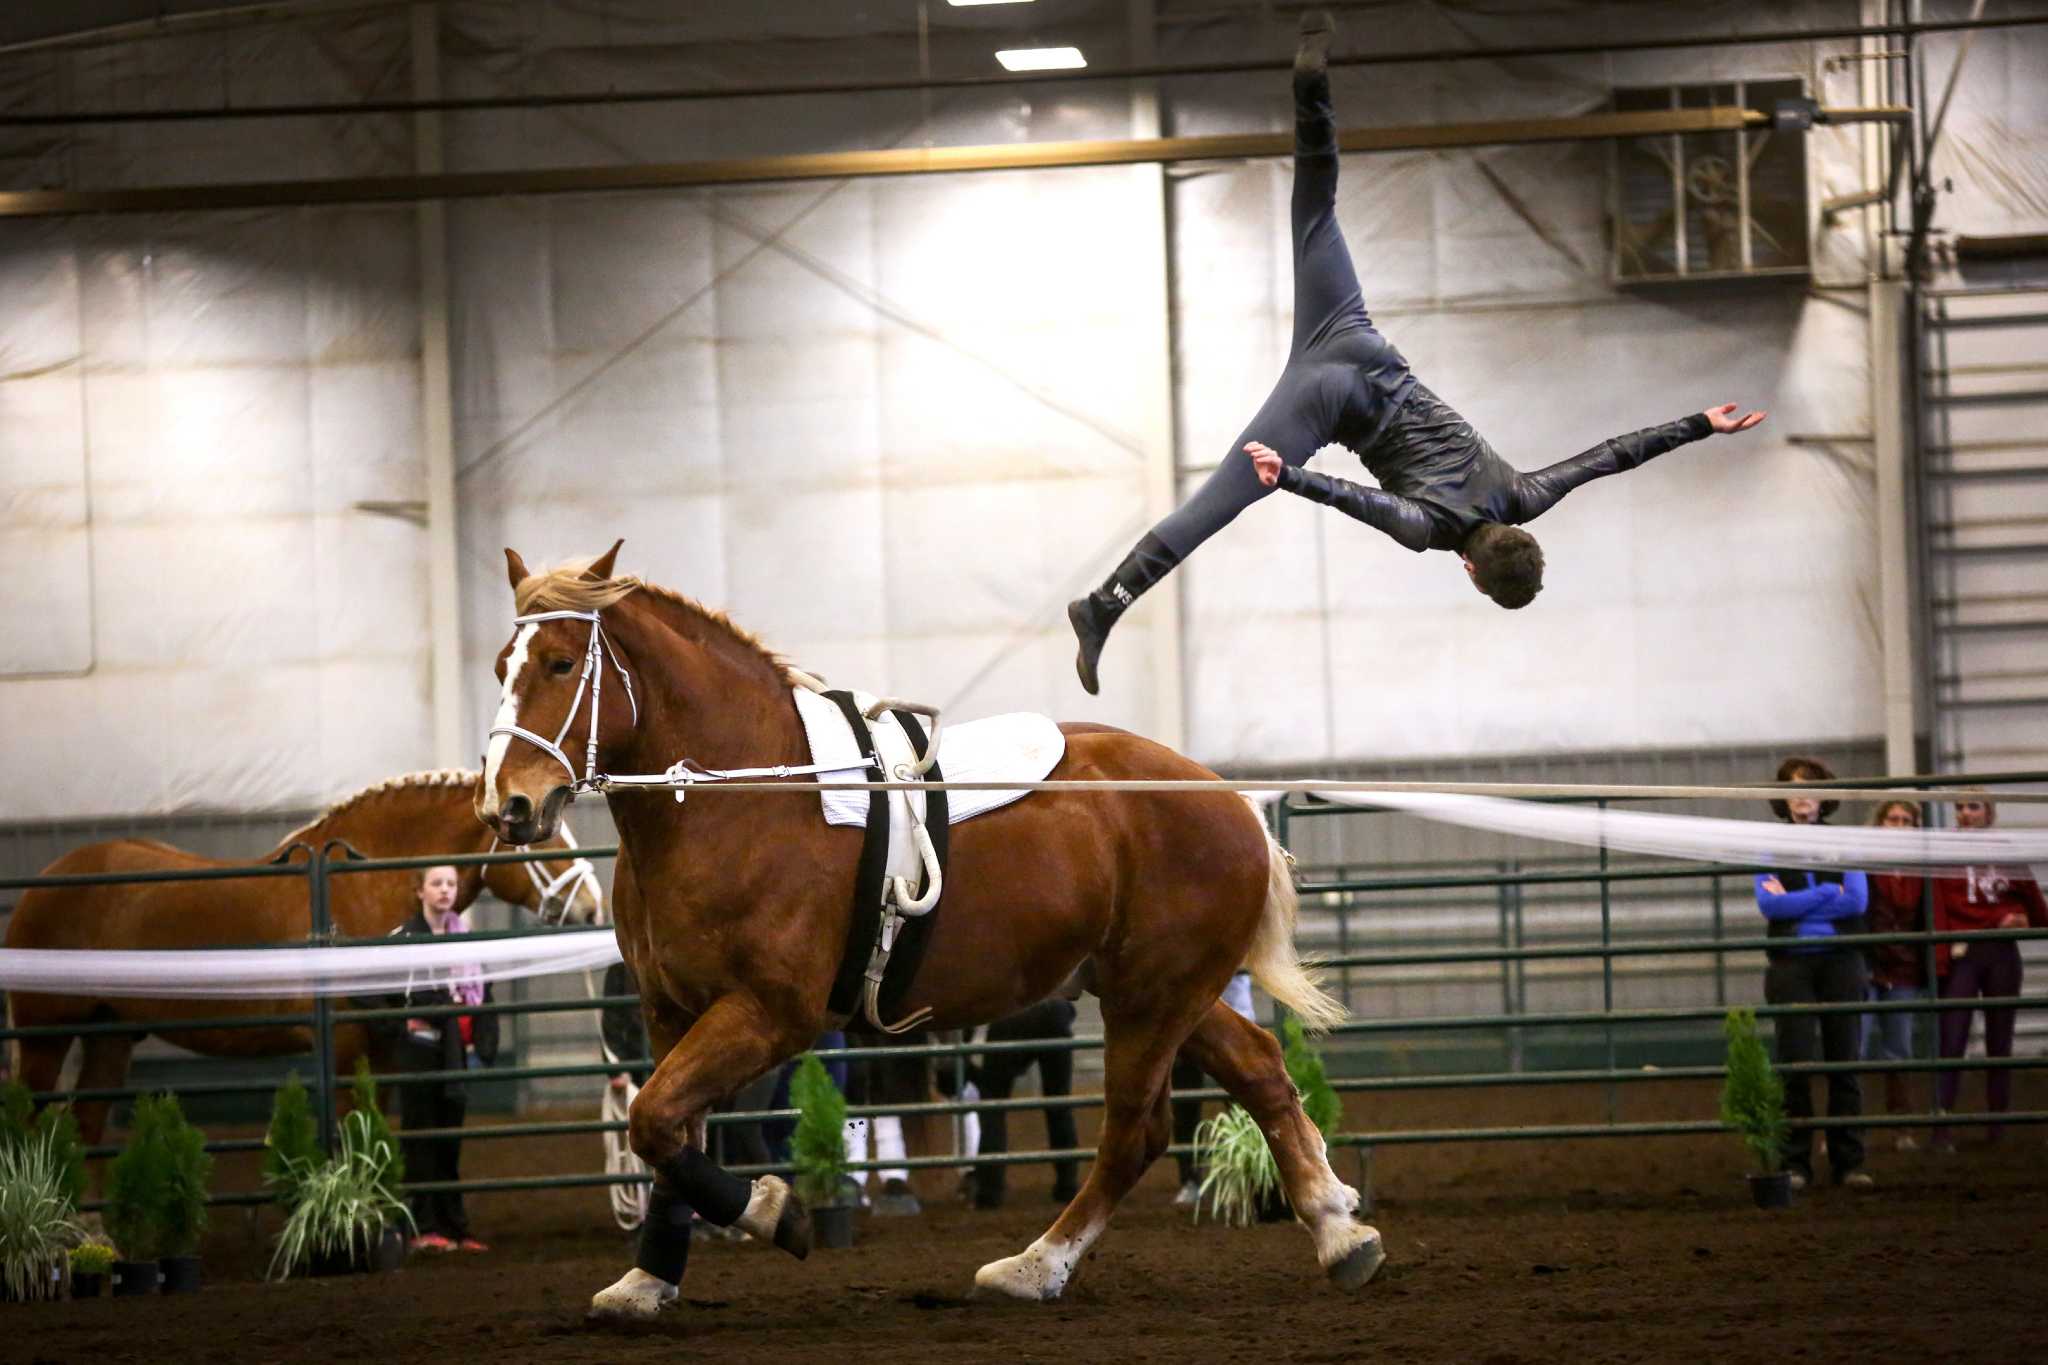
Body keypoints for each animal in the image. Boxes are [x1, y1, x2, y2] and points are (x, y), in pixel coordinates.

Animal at [6, 769, 598, 1146]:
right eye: (542, 836)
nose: (592, 906)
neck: (358, 884)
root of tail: (44, 884)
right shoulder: (343, 1048)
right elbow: (347, 1127)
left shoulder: (382, 1051)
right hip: (44, 1040)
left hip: (109, 1036)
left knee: (86, 1126)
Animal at [473, 548, 1384, 1326]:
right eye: (499, 668)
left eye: (561, 664)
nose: (507, 804)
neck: (739, 797)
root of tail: (1231, 802)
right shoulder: (670, 1012)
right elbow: (664, 1131)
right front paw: (647, 1278)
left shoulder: (770, 1013)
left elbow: (658, 1121)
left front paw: (777, 1212)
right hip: (1163, 990)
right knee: (1258, 1069)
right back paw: (1338, 1229)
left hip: (1153, 996)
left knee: (1135, 1130)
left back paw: (1036, 1266)